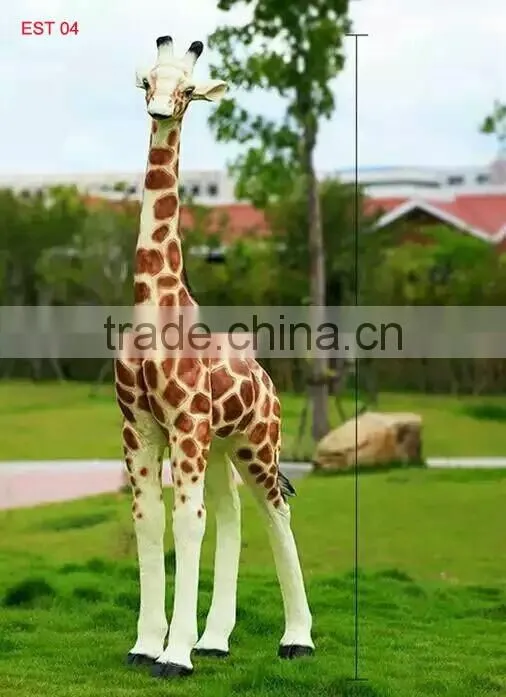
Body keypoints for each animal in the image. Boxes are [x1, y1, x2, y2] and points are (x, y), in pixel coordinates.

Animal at [114, 36, 314, 679]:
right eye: (146, 82)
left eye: (187, 89)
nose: (159, 111)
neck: (155, 307)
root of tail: (269, 380)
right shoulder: (139, 426)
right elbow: (151, 521)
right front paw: (147, 646)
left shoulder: (186, 424)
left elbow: (185, 523)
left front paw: (173, 655)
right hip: (224, 447)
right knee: (232, 516)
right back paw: (216, 640)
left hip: (256, 443)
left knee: (276, 512)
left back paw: (297, 639)